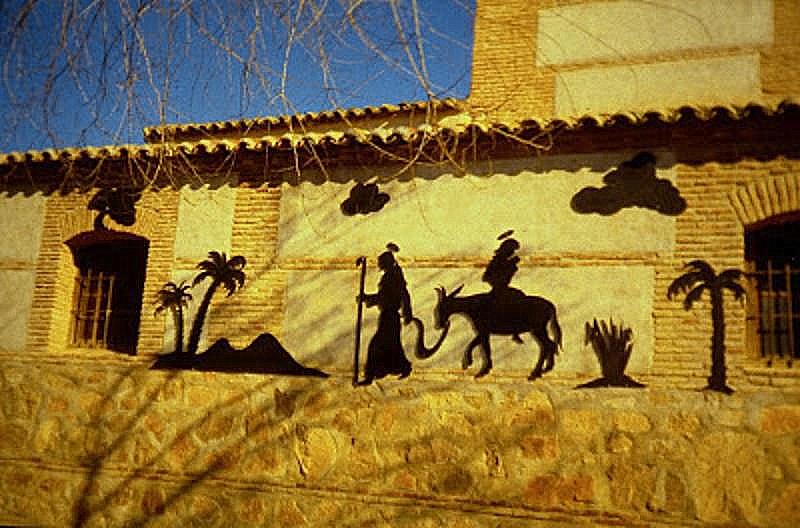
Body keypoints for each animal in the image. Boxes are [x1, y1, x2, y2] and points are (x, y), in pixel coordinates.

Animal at [423, 285, 562, 380]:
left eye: (441, 307)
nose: (440, 324)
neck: (473, 306)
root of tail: (550, 306)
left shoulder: (483, 330)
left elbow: (477, 345)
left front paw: (473, 365)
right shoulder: (485, 332)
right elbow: (483, 347)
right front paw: (483, 369)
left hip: (538, 329)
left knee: (547, 345)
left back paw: (536, 373)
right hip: (540, 329)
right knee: (550, 344)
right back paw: (546, 369)